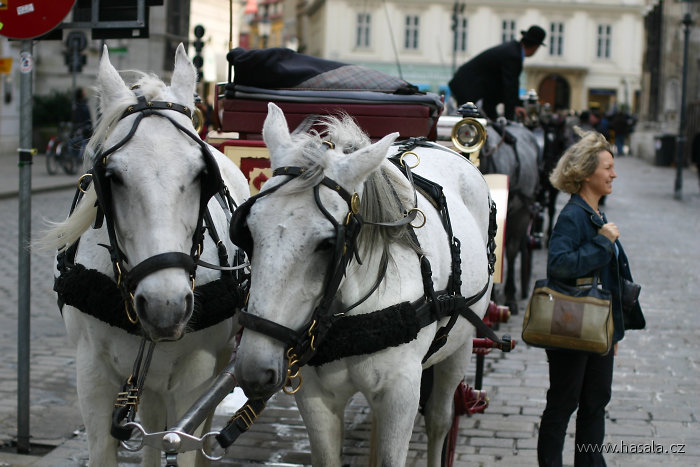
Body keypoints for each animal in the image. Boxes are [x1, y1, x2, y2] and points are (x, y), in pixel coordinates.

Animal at [38, 44, 250, 467]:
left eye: (202, 174)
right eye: (113, 177)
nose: (165, 306)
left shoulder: (196, 378)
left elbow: (186, 444)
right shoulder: (92, 375)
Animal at [232, 104, 494, 466]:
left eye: (328, 243)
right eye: (249, 231)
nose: (254, 370)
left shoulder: (400, 393)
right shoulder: (314, 396)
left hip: (460, 345)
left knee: (439, 419)